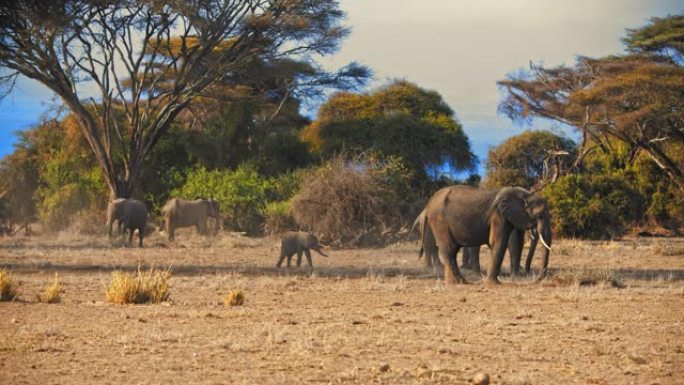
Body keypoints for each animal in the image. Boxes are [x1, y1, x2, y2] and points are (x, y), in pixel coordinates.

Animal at [420, 184, 552, 284]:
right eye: (540, 215)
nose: (535, 279)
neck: (525, 194)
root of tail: (428, 204)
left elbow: (510, 242)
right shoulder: (497, 215)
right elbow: (499, 242)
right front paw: (494, 284)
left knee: (453, 250)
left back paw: (461, 282)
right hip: (439, 221)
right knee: (449, 249)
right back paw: (456, 282)